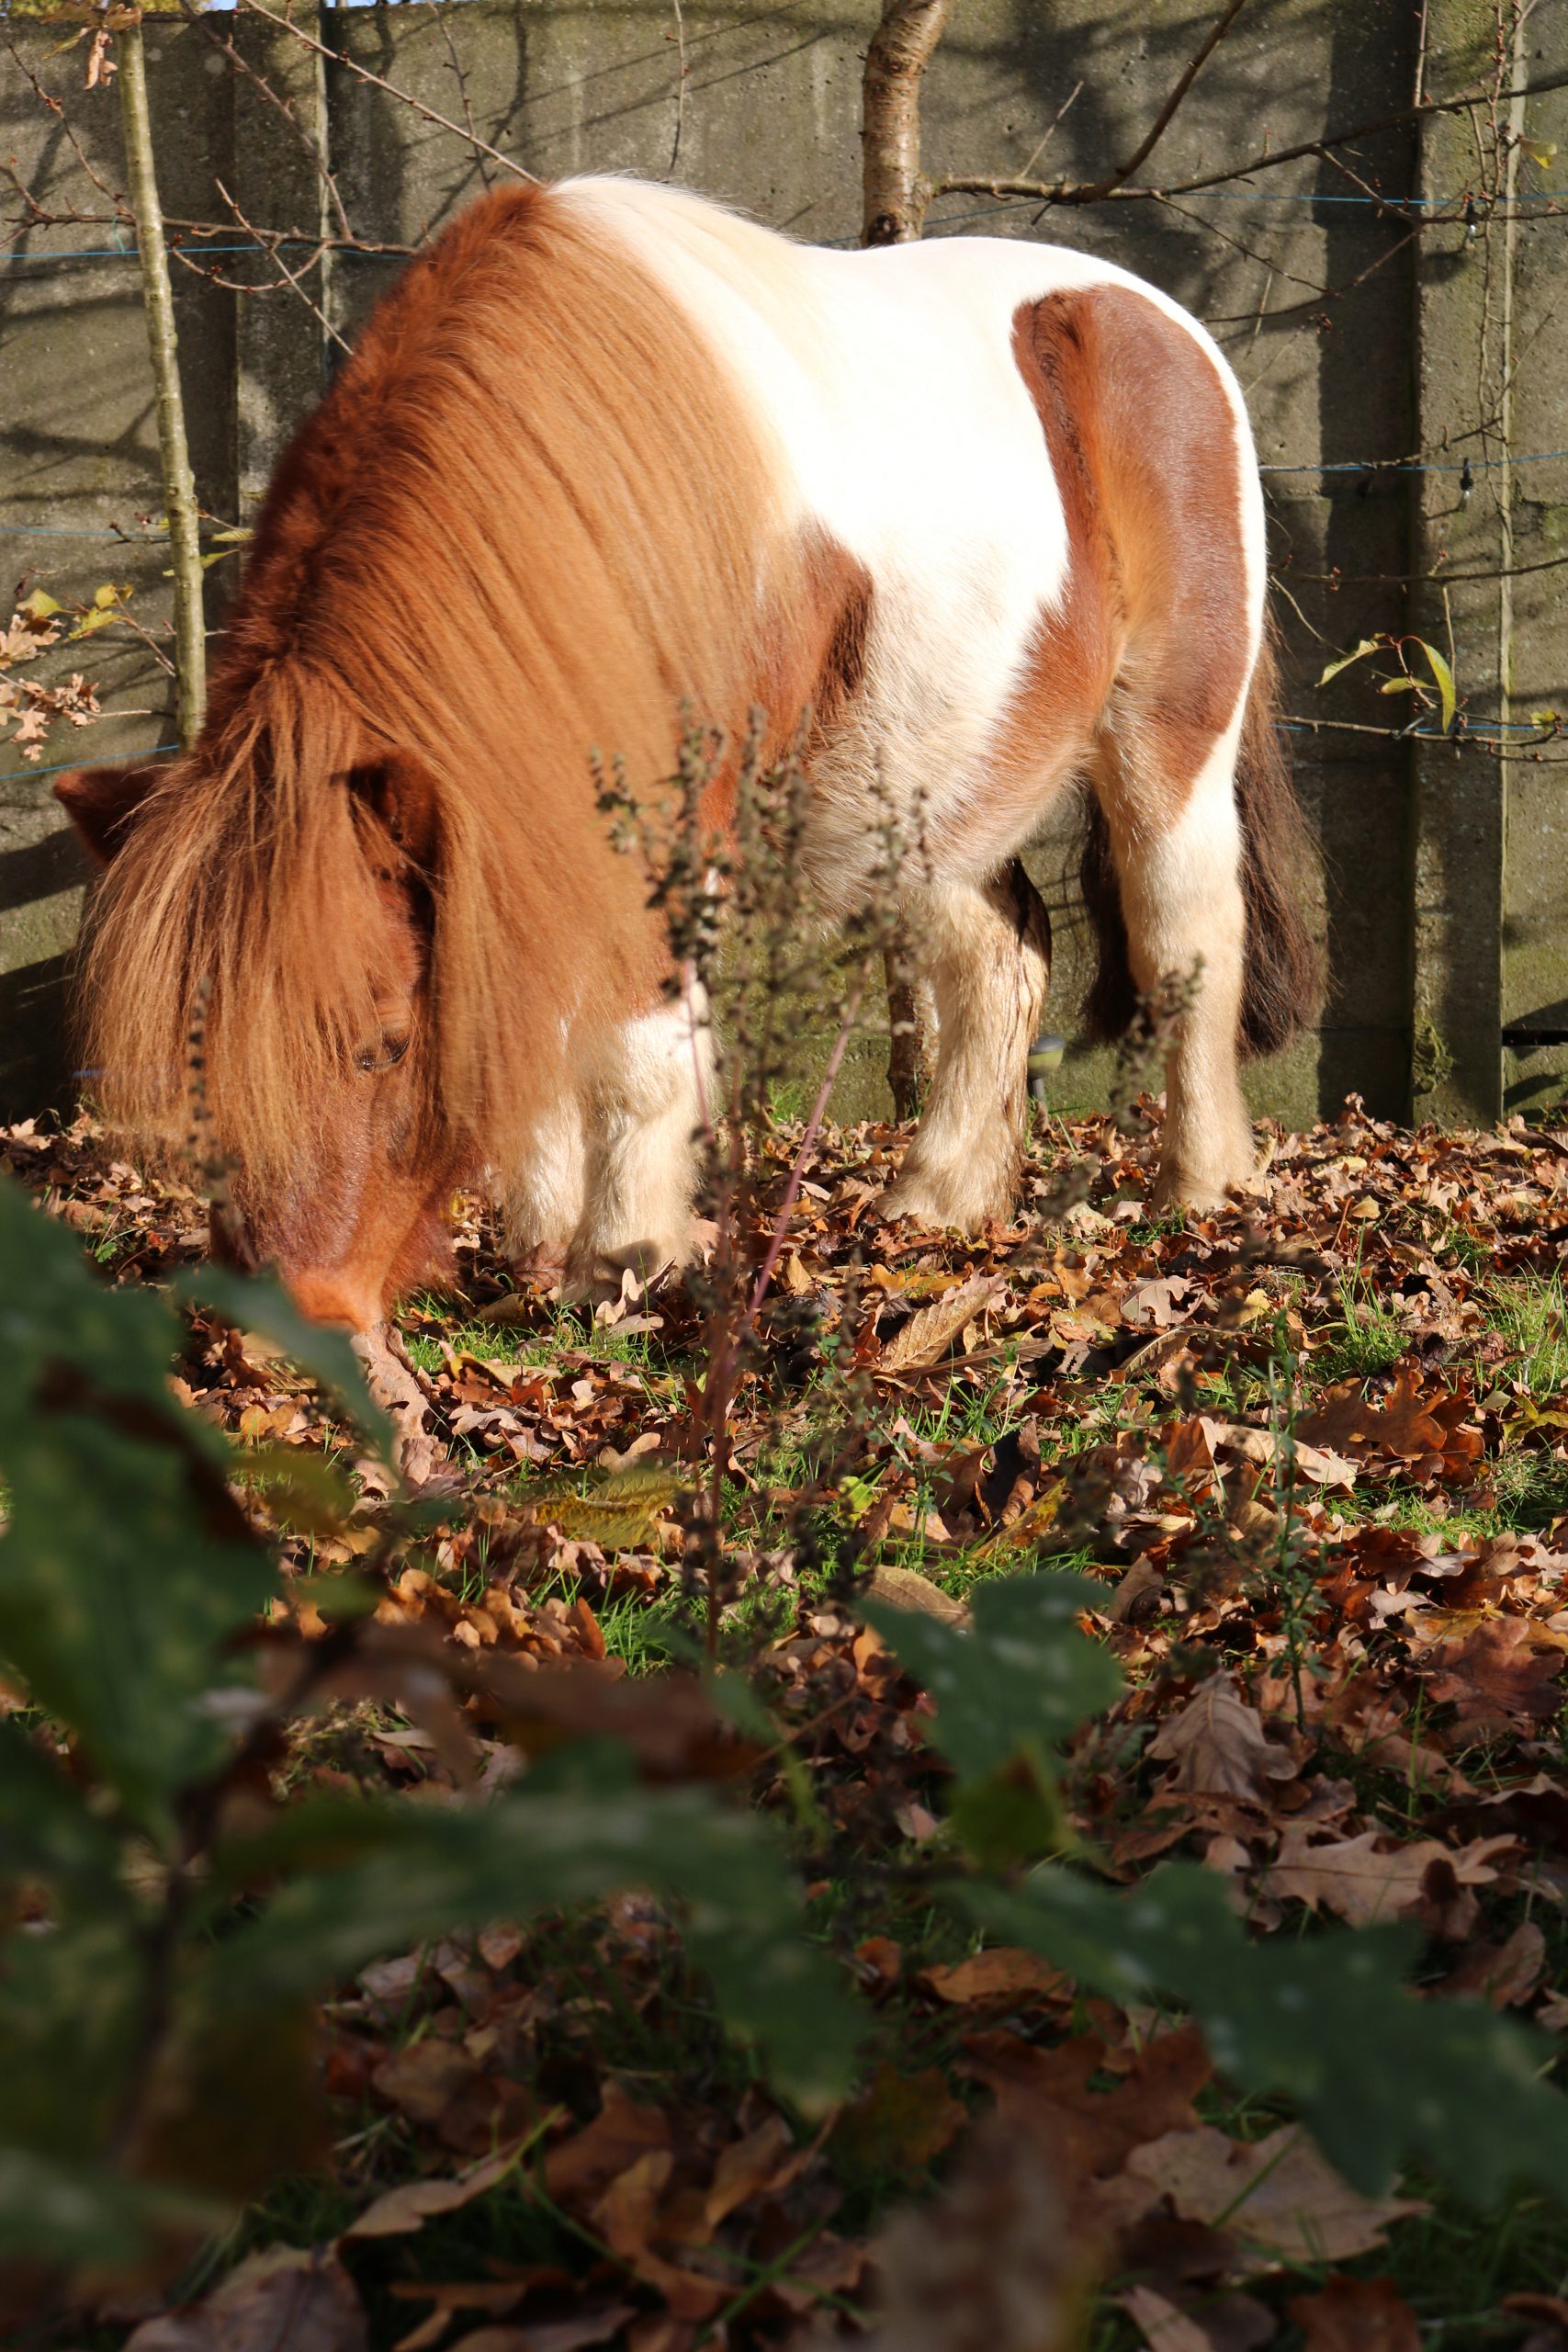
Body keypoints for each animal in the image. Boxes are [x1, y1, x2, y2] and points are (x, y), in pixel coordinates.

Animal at [55, 174, 1316, 1336]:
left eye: (385, 1046)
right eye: (196, 1063)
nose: (284, 1315)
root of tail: (1156, 318)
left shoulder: (667, 822)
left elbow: (631, 1050)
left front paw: (621, 1260)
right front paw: (544, 1239)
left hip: (1168, 739)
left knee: (1184, 939)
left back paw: (1202, 1188)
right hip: (925, 785)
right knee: (999, 955)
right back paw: (939, 1202)